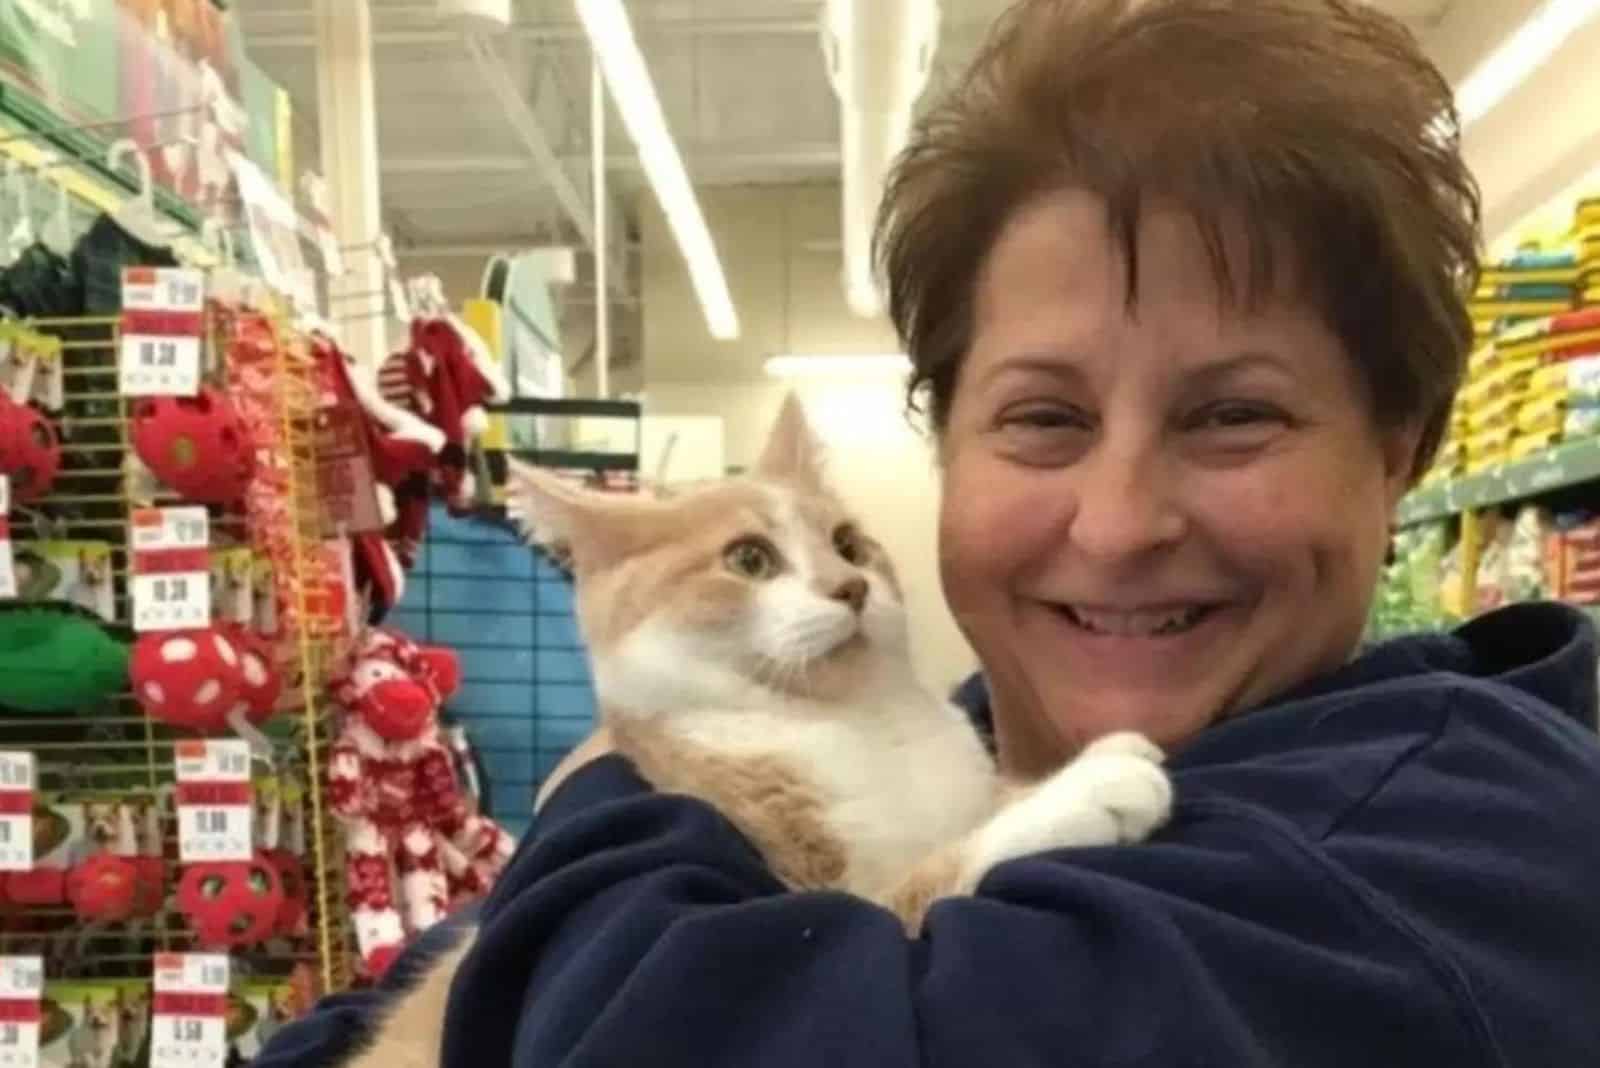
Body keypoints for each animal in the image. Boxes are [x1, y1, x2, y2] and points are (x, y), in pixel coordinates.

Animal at [337, 396, 1171, 1068]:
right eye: (749, 558)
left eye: (848, 543)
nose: (851, 586)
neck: (859, 719)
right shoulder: (818, 889)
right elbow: (913, 890)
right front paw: (1092, 782)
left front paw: (1049, 776)